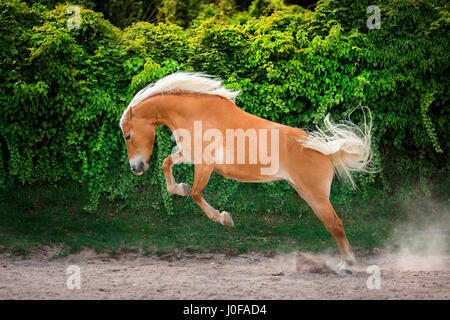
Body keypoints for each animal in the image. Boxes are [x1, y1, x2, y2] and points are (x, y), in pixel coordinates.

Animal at [120, 72, 372, 272]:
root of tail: (326, 152)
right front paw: (179, 188)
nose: (136, 168)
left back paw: (346, 264)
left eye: (128, 135)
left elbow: (196, 194)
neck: (196, 115)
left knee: (335, 224)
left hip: (316, 196)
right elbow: (167, 164)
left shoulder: (204, 164)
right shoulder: (189, 155)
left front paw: (225, 218)